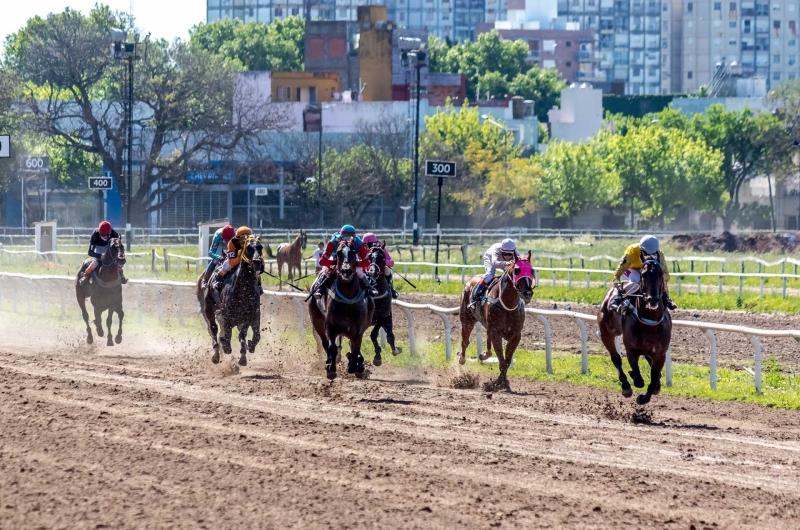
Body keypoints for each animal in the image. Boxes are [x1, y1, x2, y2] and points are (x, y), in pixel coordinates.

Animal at [197, 237, 266, 366]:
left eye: (260, 247)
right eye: (248, 247)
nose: (257, 262)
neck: (243, 290)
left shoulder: (250, 316)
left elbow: (246, 335)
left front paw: (244, 354)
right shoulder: (227, 316)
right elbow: (227, 336)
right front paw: (226, 346)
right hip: (208, 309)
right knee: (213, 329)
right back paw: (216, 355)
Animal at [306, 239, 376, 380]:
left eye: (353, 252)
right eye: (338, 253)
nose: (346, 271)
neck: (348, 298)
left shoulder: (359, 328)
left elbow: (356, 348)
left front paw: (355, 367)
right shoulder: (331, 326)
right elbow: (332, 347)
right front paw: (331, 369)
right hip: (316, 319)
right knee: (325, 342)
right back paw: (329, 361)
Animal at [460, 250, 536, 390]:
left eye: (532, 270)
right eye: (517, 270)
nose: (527, 293)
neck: (508, 303)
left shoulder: (516, 335)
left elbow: (507, 361)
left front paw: (502, 382)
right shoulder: (496, 333)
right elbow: (502, 362)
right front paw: (499, 384)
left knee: (487, 343)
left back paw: (484, 354)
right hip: (467, 320)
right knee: (465, 341)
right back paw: (461, 359)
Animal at [596, 254, 672, 402]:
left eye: (660, 274)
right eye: (643, 274)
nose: (653, 299)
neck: (650, 321)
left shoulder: (660, 354)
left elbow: (653, 379)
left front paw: (645, 397)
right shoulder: (631, 349)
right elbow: (638, 381)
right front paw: (632, 376)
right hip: (606, 333)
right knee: (616, 358)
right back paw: (625, 385)